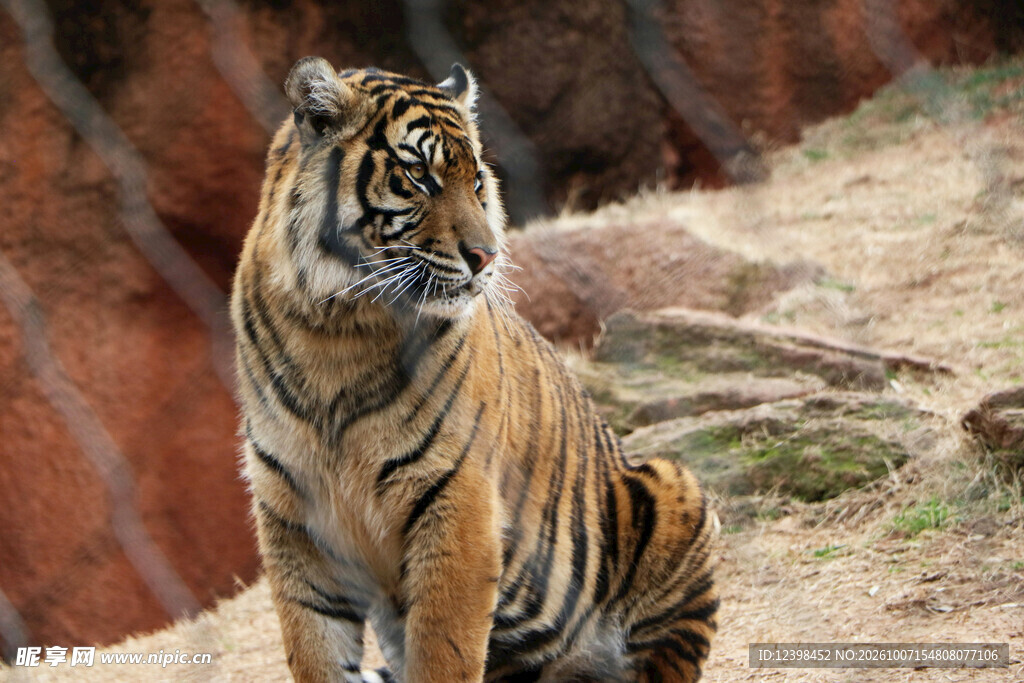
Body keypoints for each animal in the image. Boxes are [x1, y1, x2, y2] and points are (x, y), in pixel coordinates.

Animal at [230, 56, 718, 683]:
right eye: (419, 176)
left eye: (479, 182)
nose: (487, 257)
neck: (336, 328)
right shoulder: (294, 519)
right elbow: (315, 652)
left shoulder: (456, 497)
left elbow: (443, 652)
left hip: (674, 489)